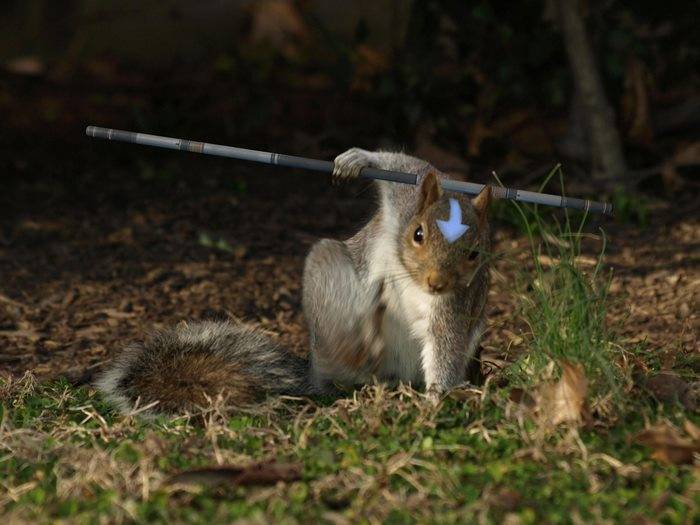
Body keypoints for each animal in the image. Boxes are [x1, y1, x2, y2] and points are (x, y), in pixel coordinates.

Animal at [95, 148, 492, 414]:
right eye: (418, 234)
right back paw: (356, 347)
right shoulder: (404, 199)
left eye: (476, 253)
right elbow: (404, 166)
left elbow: (446, 345)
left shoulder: (455, 303)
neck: (410, 274)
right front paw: (356, 159)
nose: (437, 282)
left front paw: (437, 399)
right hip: (326, 273)